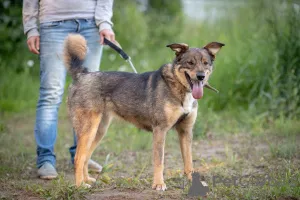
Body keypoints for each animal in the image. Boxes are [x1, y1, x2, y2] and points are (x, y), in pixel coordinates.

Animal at [63, 33, 224, 190]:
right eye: (190, 63)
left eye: (205, 63)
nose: (201, 76)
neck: (178, 87)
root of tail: (82, 75)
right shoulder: (160, 130)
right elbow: (159, 161)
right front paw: (158, 184)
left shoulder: (186, 131)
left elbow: (189, 162)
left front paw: (193, 182)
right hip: (88, 129)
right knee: (78, 157)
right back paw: (80, 185)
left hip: (99, 130)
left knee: (86, 157)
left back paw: (87, 180)